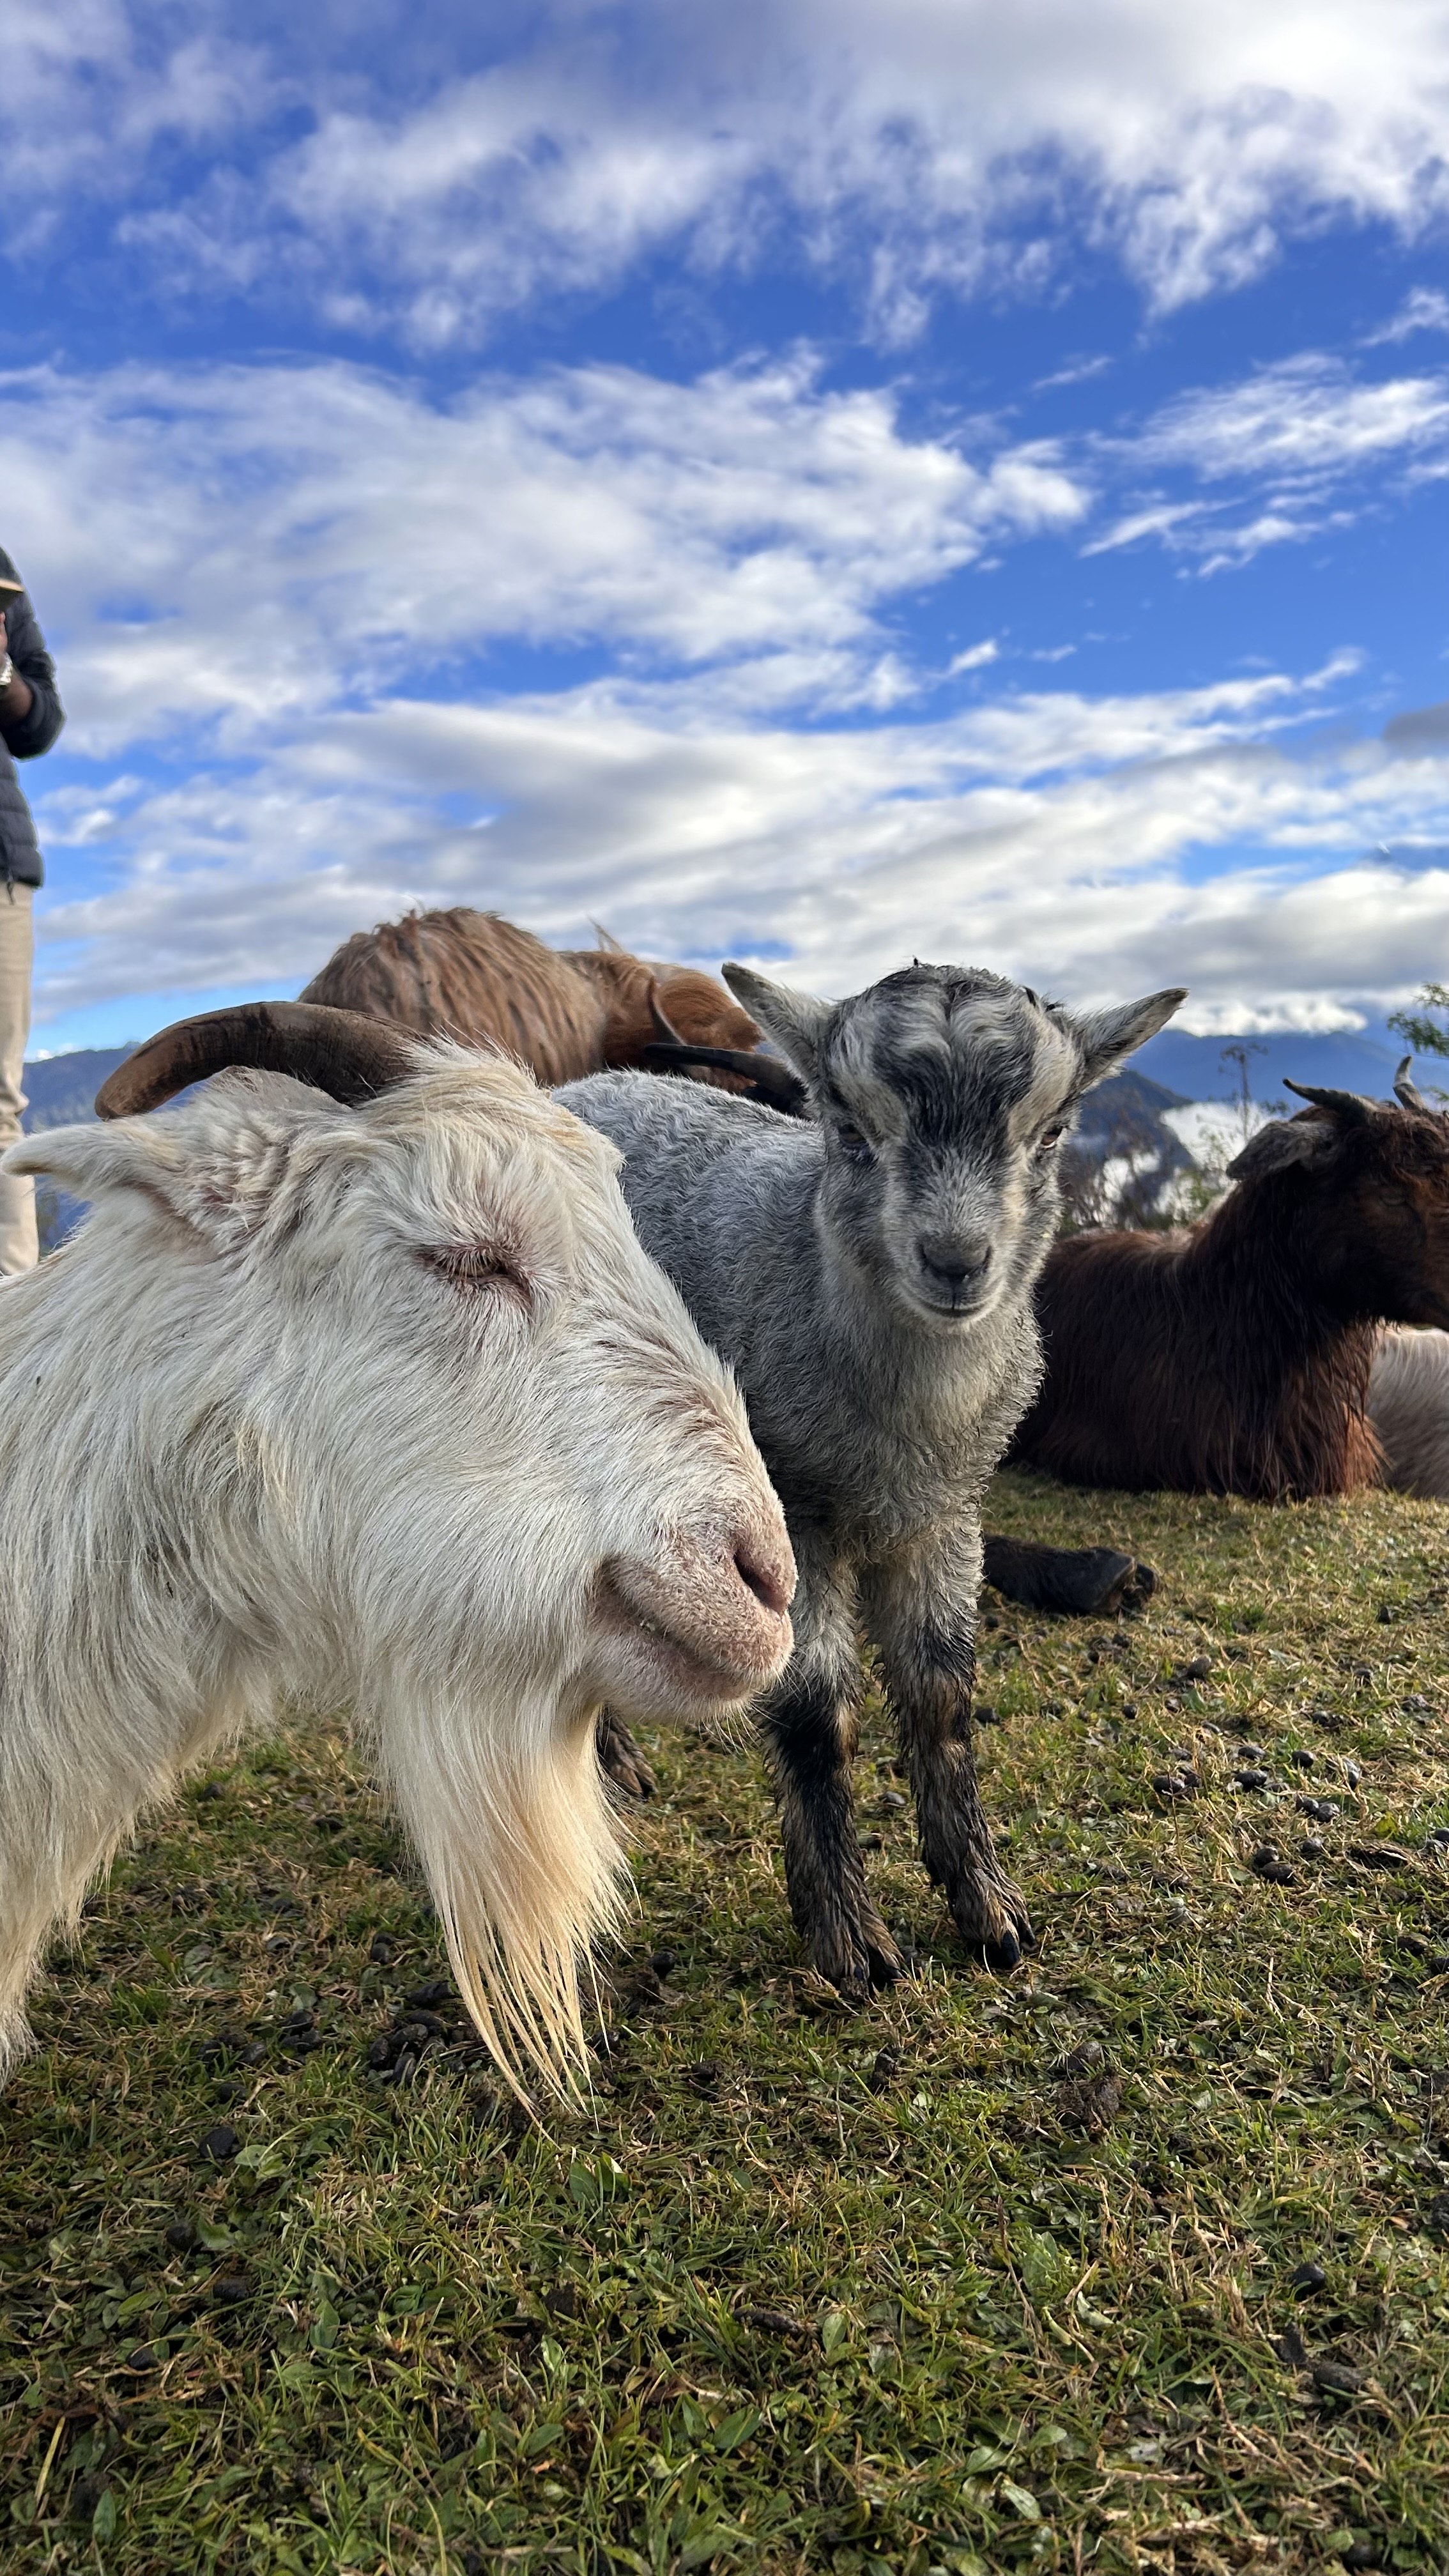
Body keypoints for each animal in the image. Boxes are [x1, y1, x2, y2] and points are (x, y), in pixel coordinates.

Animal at [560, 961, 1184, 1990]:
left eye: (1051, 1134)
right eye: (850, 1130)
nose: (957, 1261)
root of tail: (579, 1086)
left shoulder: (945, 1518)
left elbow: (941, 1702)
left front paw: (987, 1906)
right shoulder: (794, 1514)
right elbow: (818, 1718)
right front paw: (849, 1937)